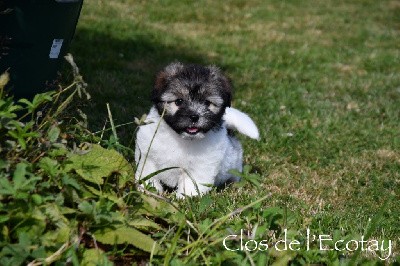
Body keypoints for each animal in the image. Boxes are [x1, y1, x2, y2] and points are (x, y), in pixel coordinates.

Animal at [134, 61, 260, 196]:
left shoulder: (202, 165)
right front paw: (148, 190)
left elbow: (191, 183)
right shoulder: (147, 153)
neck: (181, 139)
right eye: (179, 101)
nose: (194, 116)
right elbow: (149, 173)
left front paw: (184, 198)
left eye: (207, 103)